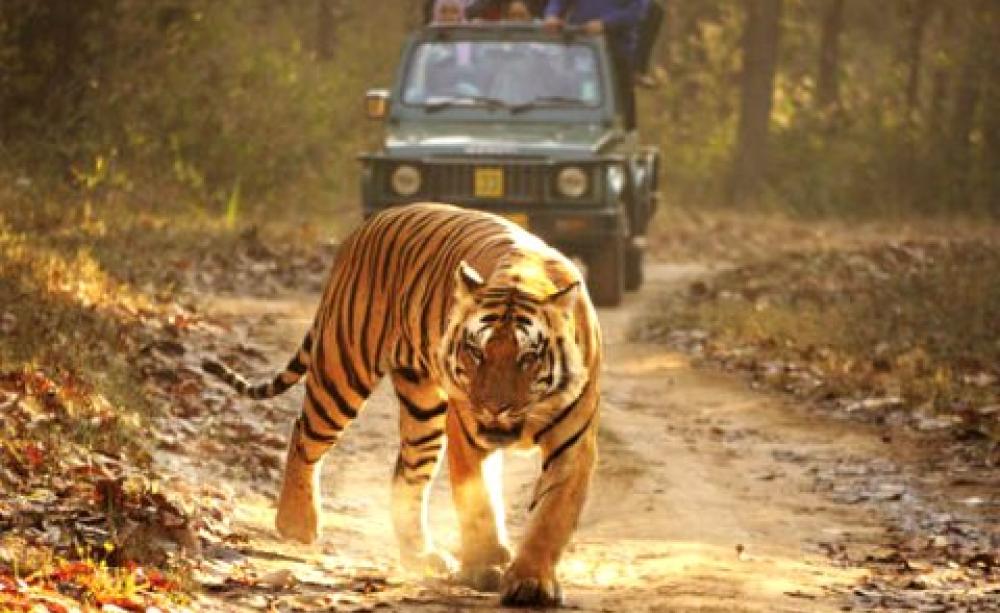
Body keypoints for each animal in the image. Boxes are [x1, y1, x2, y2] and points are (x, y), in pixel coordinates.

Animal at [203, 203, 601, 607]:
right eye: (476, 351)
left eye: (528, 357)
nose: (493, 407)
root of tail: (369, 223)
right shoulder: (467, 431)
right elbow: (477, 503)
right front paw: (483, 566)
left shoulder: (573, 444)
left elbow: (551, 515)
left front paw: (530, 581)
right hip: (343, 369)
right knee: (305, 433)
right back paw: (297, 523)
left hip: (422, 410)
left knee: (406, 473)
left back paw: (420, 554)